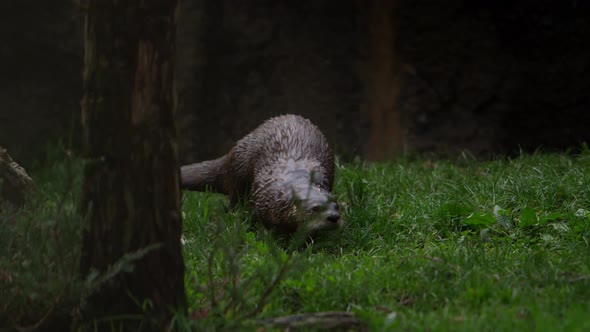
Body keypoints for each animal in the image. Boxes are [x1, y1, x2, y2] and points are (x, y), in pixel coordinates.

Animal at [183, 114, 344, 233]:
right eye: (315, 208)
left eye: (337, 207)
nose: (334, 217)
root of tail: (232, 153)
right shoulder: (261, 200)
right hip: (239, 172)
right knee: (235, 198)